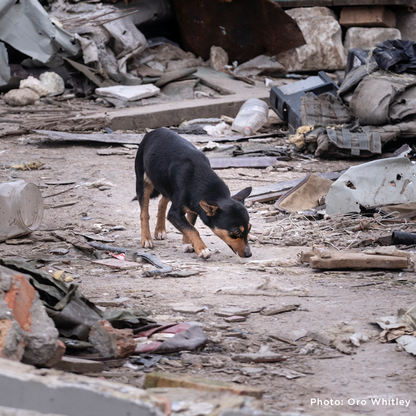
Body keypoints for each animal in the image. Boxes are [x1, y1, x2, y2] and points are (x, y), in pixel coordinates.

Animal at [136, 127, 252, 258]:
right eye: (236, 232)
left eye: (249, 228)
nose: (249, 254)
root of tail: (156, 130)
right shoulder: (174, 214)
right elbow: (192, 229)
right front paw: (202, 249)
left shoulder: (195, 207)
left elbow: (190, 225)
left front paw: (187, 244)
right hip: (143, 181)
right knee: (144, 213)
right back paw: (146, 238)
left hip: (165, 183)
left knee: (162, 202)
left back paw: (160, 230)